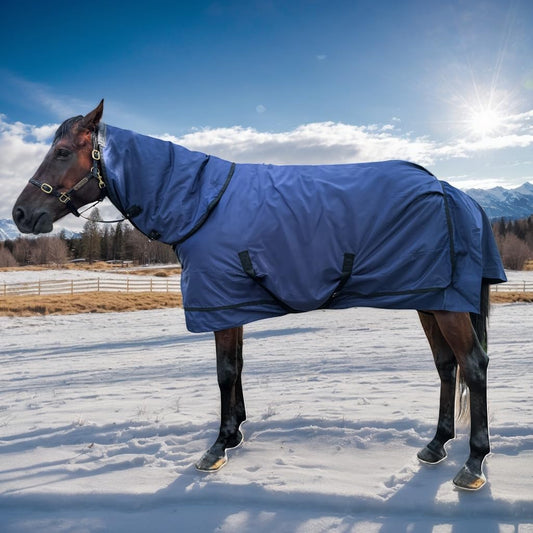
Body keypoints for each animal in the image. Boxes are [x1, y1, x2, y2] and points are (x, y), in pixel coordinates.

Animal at [10, 101, 504, 490]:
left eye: (62, 152)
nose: (19, 214)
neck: (200, 203)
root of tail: (460, 196)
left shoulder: (220, 306)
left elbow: (225, 372)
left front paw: (218, 445)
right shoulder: (233, 304)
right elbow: (239, 367)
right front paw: (236, 434)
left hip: (446, 306)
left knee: (473, 365)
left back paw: (474, 463)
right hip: (430, 298)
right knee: (447, 365)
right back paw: (436, 445)